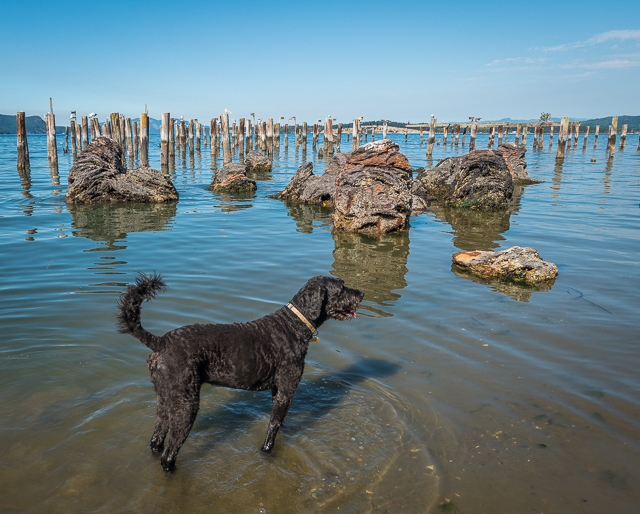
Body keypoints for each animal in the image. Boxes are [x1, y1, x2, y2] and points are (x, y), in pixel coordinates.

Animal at [117, 273, 364, 472]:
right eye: (341, 287)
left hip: (165, 401)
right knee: (168, 456)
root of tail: (161, 342)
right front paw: (266, 450)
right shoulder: (286, 390)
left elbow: (279, 420)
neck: (293, 326)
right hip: (186, 406)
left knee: (157, 439)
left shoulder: (278, 392)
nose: (361, 293)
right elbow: (273, 427)